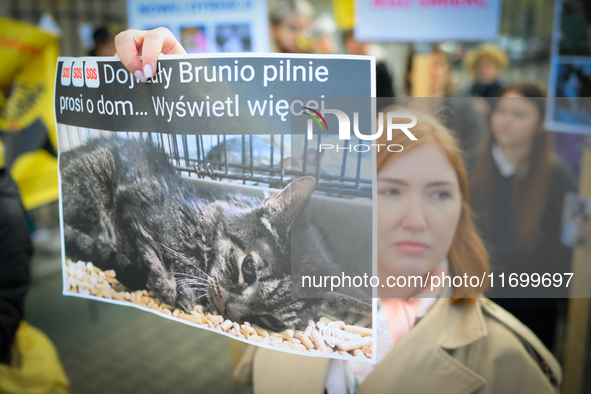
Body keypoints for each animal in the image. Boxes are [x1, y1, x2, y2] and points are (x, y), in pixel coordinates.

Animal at [61, 137, 370, 330]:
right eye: (248, 269)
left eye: (270, 322)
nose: (231, 311)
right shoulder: (134, 203)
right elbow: (150, 246)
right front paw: (170, 281)